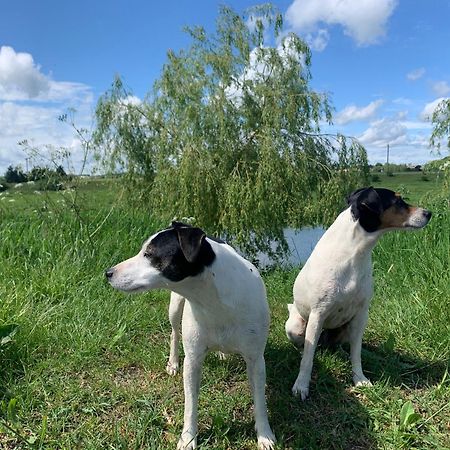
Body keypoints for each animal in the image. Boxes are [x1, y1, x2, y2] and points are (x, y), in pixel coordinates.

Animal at [105, 222, 274, 450]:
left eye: (149, 254)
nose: (108, 272)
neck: (212, 300)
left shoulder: (256, 360)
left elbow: (260, 400)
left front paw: (264, 435)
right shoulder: (193, 360)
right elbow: (190, 404)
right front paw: (188, 438)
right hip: (175, 308)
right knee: (174, 334)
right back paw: (173, 362)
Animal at [286, 187, 430, 400]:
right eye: (397, 201)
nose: (429, 213)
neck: (354, 254)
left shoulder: (361, 315)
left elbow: (356, 354)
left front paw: (359, 379)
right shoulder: (317, 314)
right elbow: (307, 360)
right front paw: (301, 386)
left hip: (347, 330)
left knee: (339, 347)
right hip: (296, 327)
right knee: (307, 347)